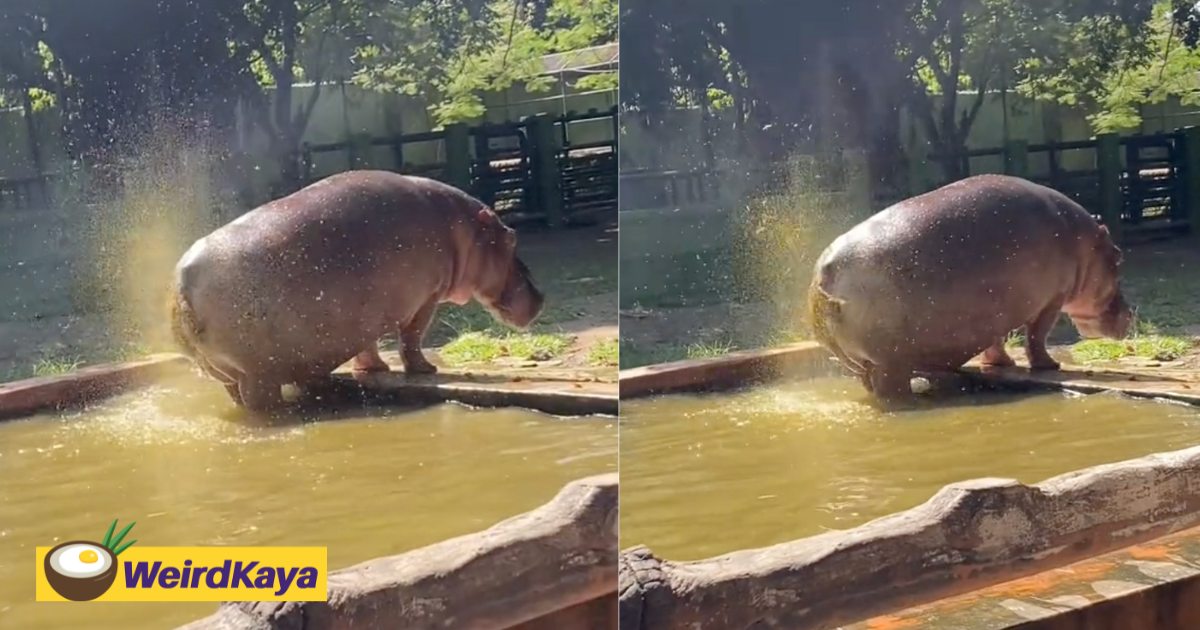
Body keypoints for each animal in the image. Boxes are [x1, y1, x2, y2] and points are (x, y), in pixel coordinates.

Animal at [166, 169, 547, 410]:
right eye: (512, 238)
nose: (541, 296)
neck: (462, 228)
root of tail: (182, 287)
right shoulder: (426, 299)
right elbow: (412, 337)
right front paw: (426, 370)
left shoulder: (364, 313)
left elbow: (368, 344)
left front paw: (373, 370)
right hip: (257, 376)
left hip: (230, 375)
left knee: (235, 395)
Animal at [806, 172, 1132, 398]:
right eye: (1118, 255)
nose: (1131, 314)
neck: (1084, 244)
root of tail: (824, 274)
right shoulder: (1051, 300)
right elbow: (1036, 336)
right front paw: (1050, 366)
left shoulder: (993, 312)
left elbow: (996, 340)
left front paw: (1001, 364)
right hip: (889, 364)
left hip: (862, 364)